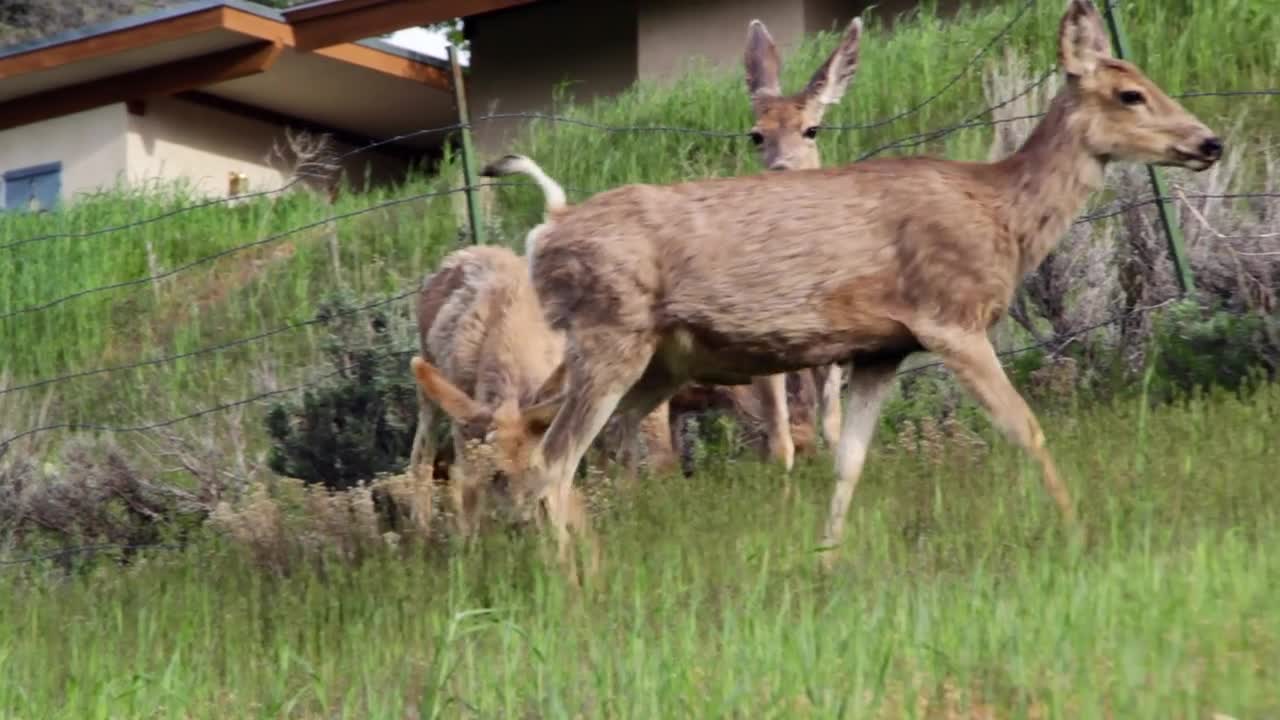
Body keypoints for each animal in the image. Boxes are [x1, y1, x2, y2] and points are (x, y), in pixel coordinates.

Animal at [409, 0, 1218, 576]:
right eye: (1130, 93)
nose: (1209, 141)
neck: (1001, 214)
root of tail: (547, 228)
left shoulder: (878, 350)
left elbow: (850, 457)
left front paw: (825, 560)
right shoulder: (949, 317)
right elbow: (1025, 426)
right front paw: (1079, 529)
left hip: (652, 361)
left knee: (541, 439)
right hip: (612, 336)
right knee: (551, 457)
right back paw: (575, 582)